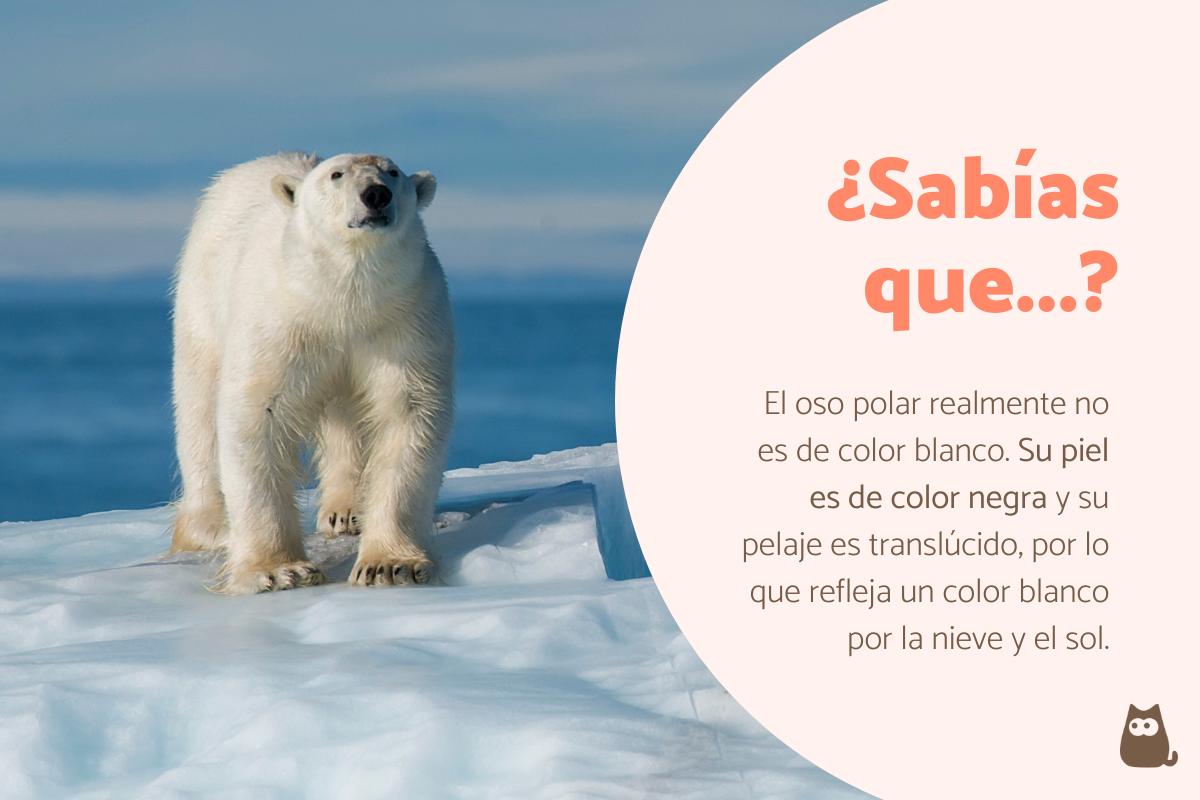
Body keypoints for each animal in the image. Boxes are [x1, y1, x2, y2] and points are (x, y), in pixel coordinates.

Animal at [170, 152, 453, 594]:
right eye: (336, 174)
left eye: (392, 172)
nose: (376, 194)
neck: (342, 298)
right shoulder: (279, 323)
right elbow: (257, 416)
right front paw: (279, 571)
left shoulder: (404, 321)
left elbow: (407, 415)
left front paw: (389, 565)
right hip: (200, 297)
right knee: (197, 408)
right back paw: (211, 527)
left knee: (346, 418)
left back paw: (347, 511)